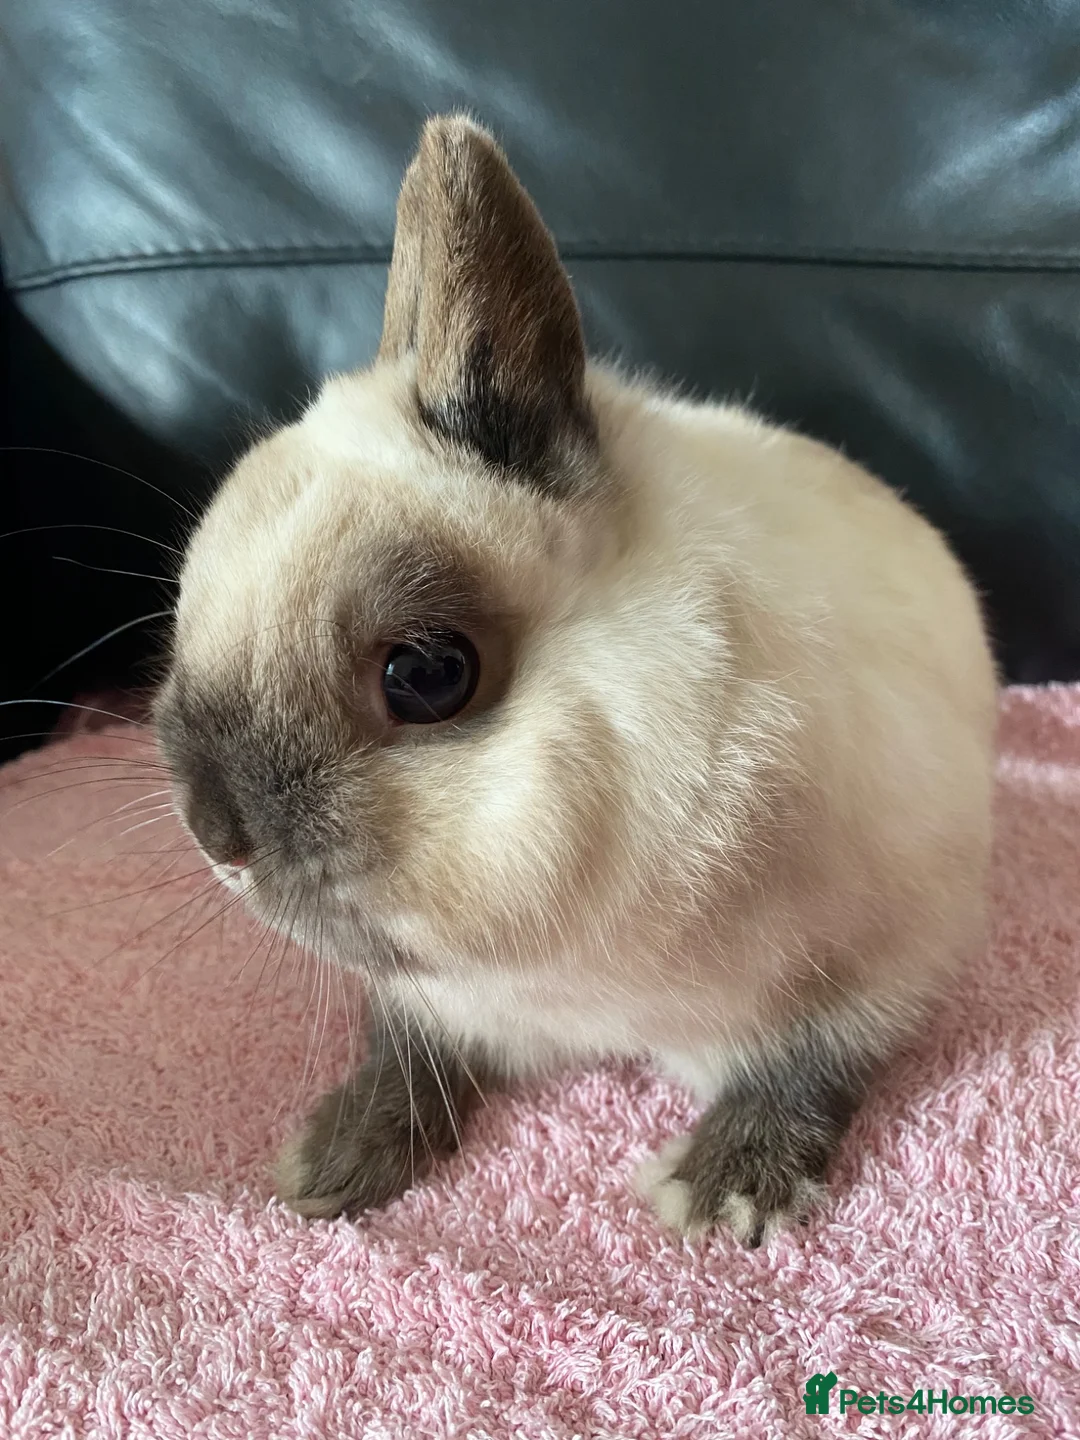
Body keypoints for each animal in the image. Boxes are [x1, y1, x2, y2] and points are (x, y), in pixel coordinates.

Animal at [155, 113, 996, 1247]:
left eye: (427, 674)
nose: (218, 837)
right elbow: (408, 1049)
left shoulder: (887, 947)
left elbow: (812, 1062)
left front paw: (723, 1191)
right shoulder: (446, 1000)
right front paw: (336, 1158)